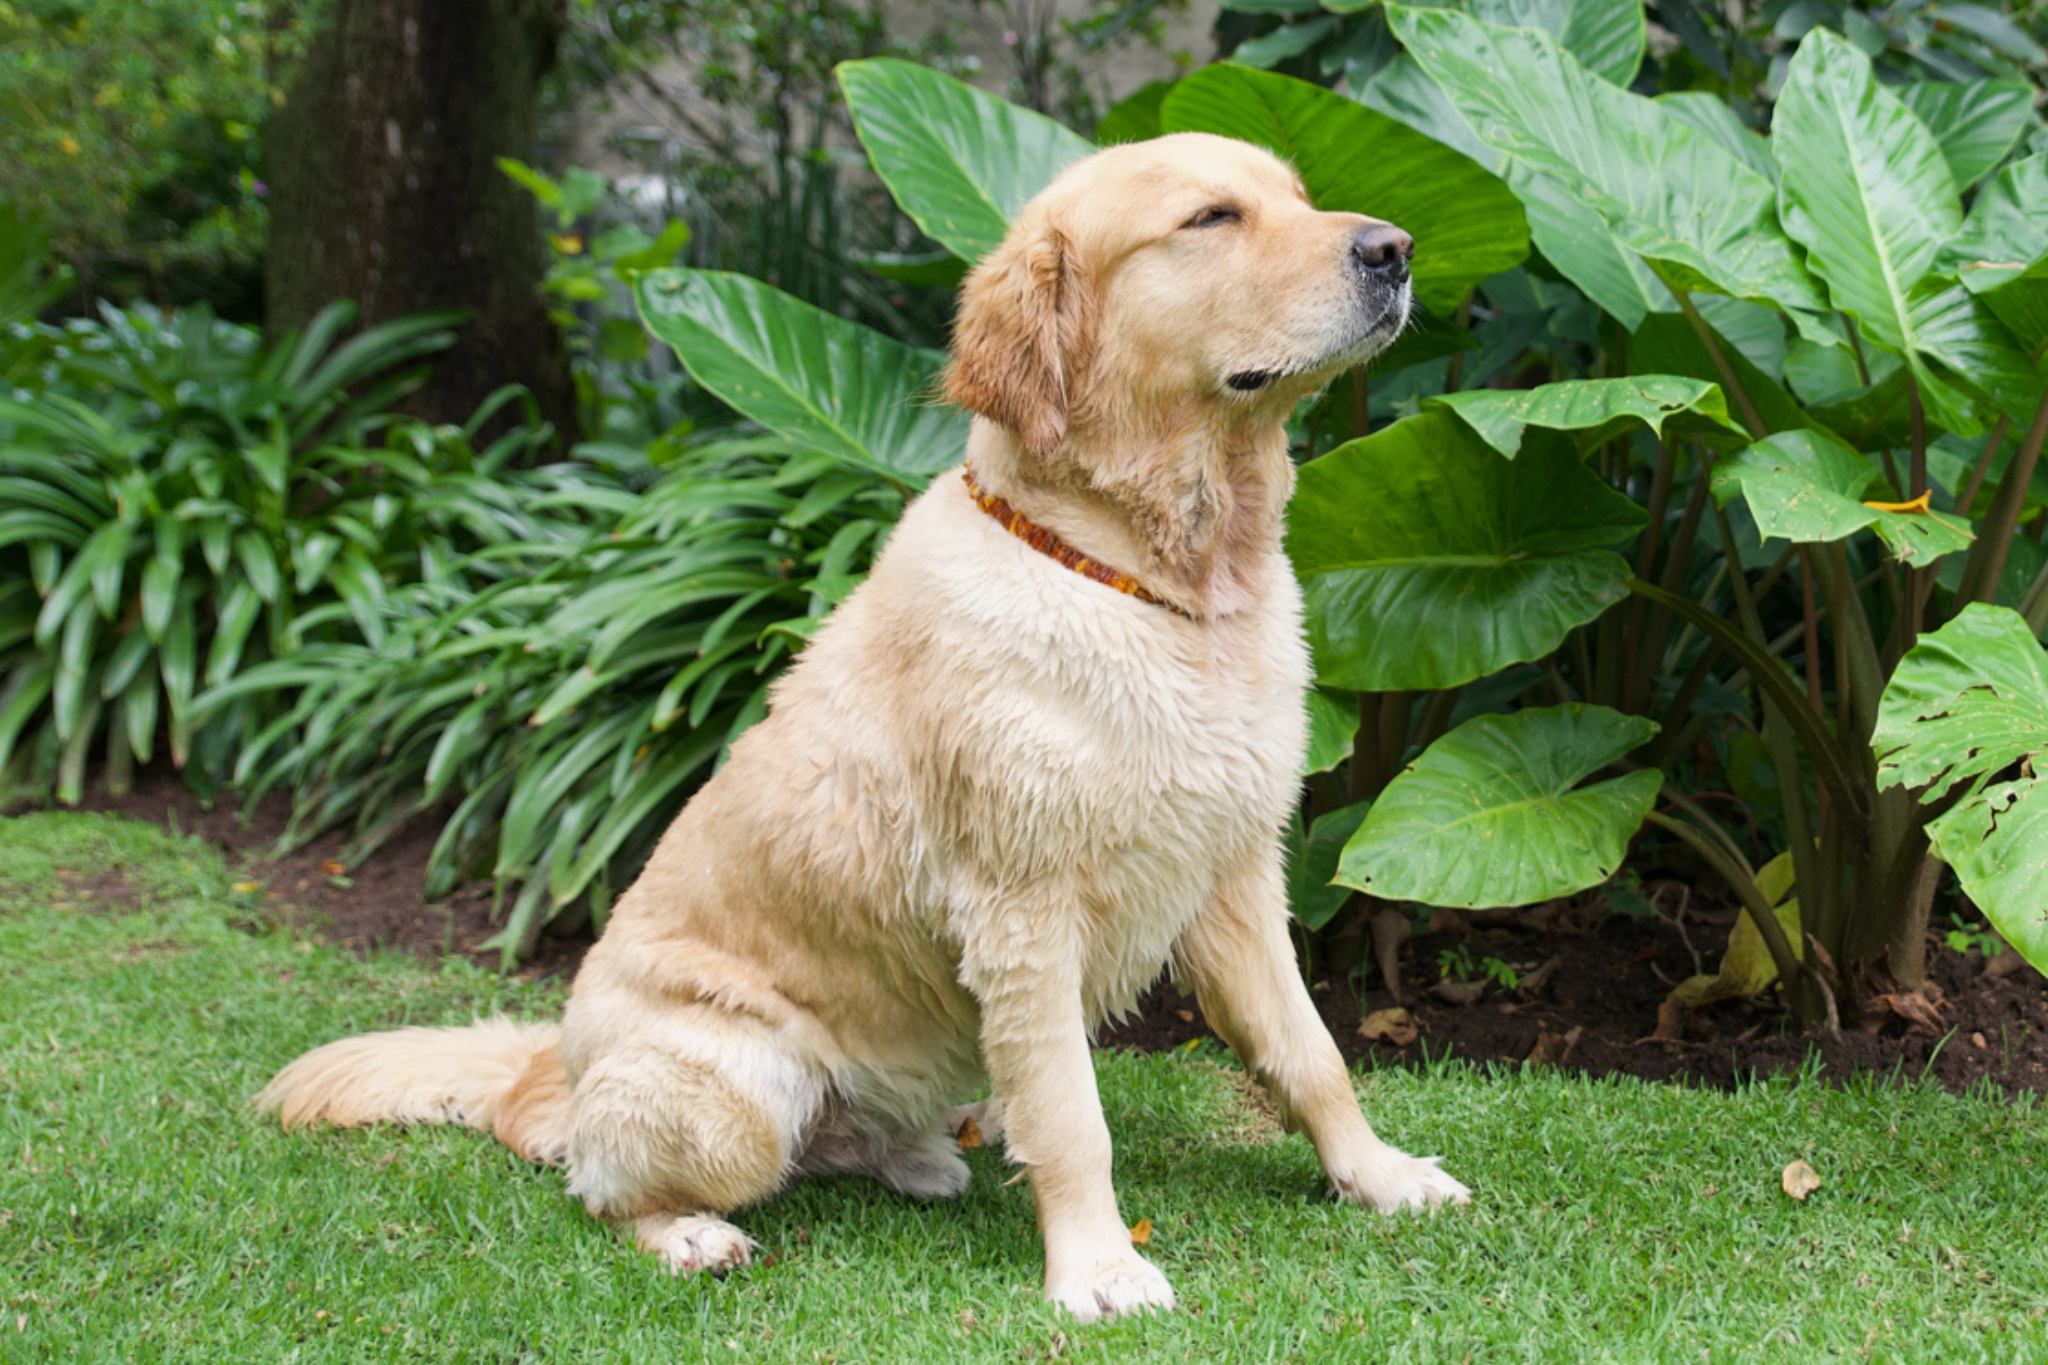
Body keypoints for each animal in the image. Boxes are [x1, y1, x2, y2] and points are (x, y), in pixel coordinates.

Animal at [260, 133, 1474, 1317]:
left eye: (1298, 197)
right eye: (1210, 217)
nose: (1396, 249)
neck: (1154, 583)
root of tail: (548, 1066)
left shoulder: (1235, 870)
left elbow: (1311, 1051)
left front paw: (1378, 1176)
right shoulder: (1023, 907)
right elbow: (1073, 1114)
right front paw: (1097, 1267)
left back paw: (923, 1157)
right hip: (738, 1087)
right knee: (597, 1179)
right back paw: (693, 1231)